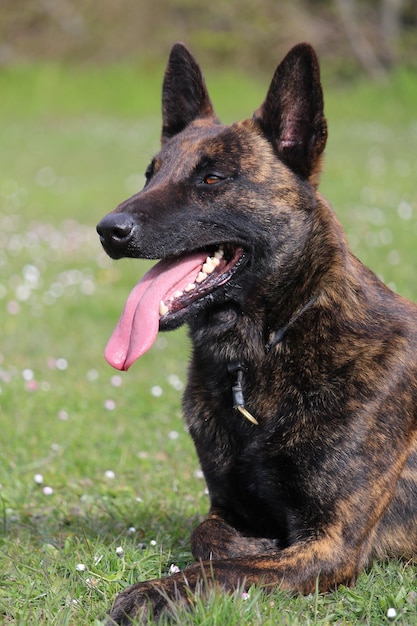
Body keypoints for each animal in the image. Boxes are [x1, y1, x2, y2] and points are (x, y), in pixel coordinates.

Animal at [96, 41, 416, 620]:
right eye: (150, 175)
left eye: (213, 179)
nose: (109, 231)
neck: (266, 348)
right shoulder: (225, 508)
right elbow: (209, 540)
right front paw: (249, 543)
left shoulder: (332, 542)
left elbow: (223, 569)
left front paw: (153, 593)